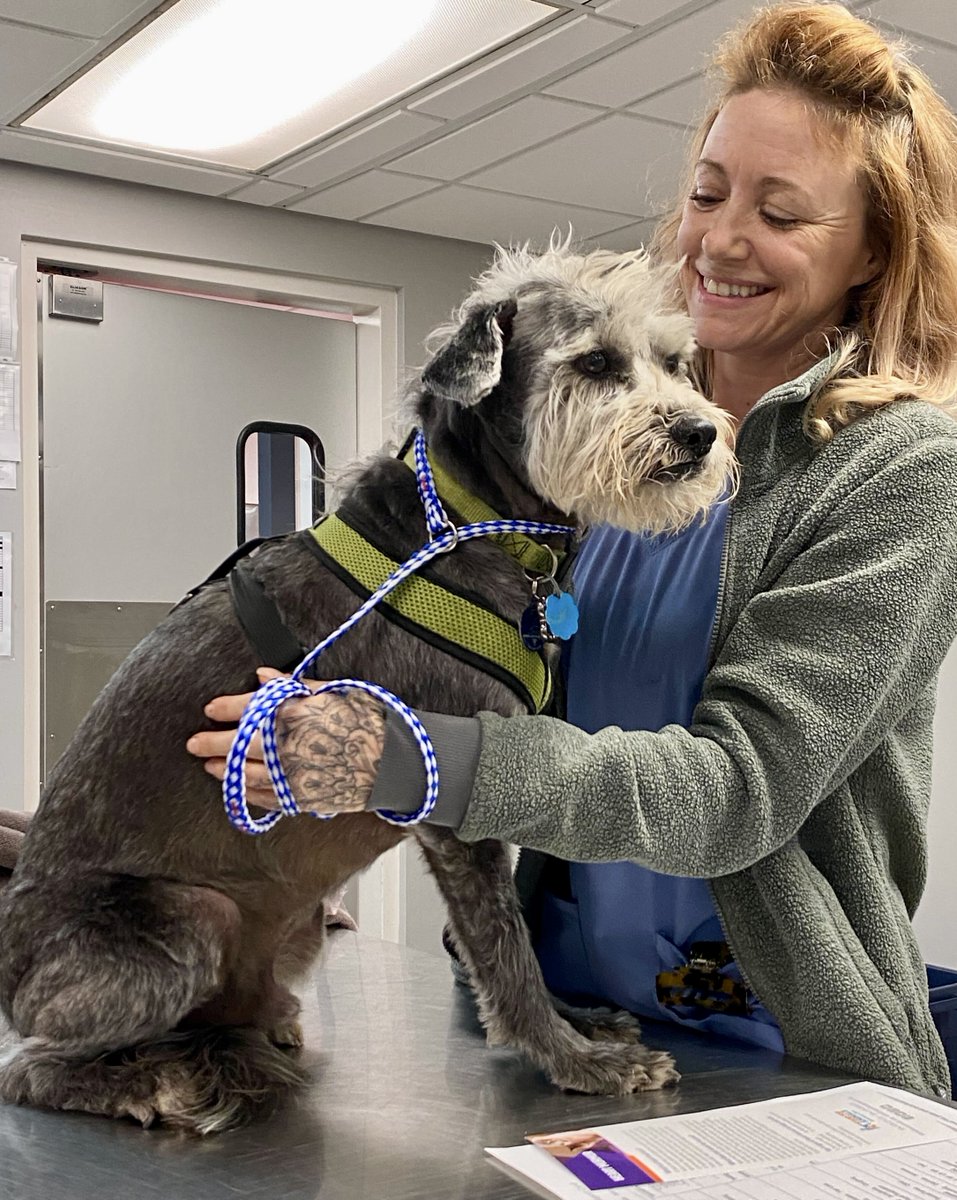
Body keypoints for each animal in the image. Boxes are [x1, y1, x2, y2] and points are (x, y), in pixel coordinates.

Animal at [0, 241, 738, 1132]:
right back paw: (153, 1084)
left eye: (673, 362)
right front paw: (574, 1058)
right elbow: (505, 944)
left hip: (295, 931)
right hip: (186, 920)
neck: (471, 524)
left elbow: (516, 933)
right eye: (594, 362)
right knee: (29, 1068)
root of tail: (10, 979)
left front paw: (581, 1021)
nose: (699, 432)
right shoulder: (450, 800)